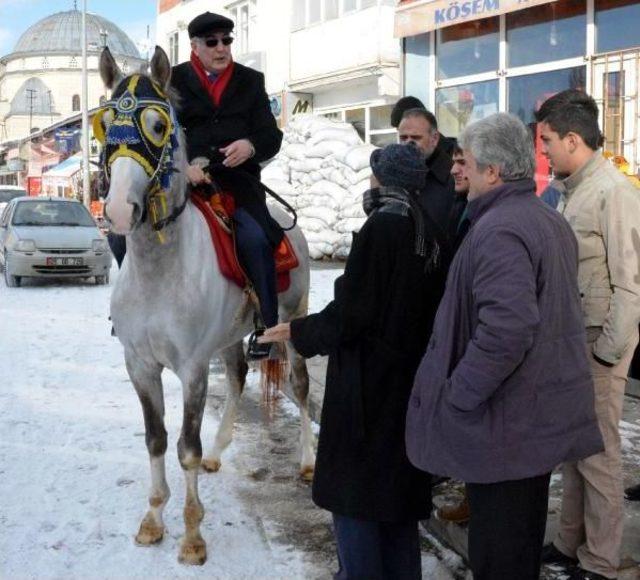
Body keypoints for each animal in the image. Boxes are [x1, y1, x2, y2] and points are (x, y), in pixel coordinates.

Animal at [99, 47, 316, 564]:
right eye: (104, 123)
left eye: (159, 125)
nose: (117, 210)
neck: (159, 270)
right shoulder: (140, 365)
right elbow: (157, 440)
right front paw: (153, 520)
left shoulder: (193, 368)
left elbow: (186, 448)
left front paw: (193, 536)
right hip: (232, 336)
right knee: (236, 377)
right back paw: (221, 452)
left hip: (293, 321)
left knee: (300, 389)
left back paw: (306, 461)